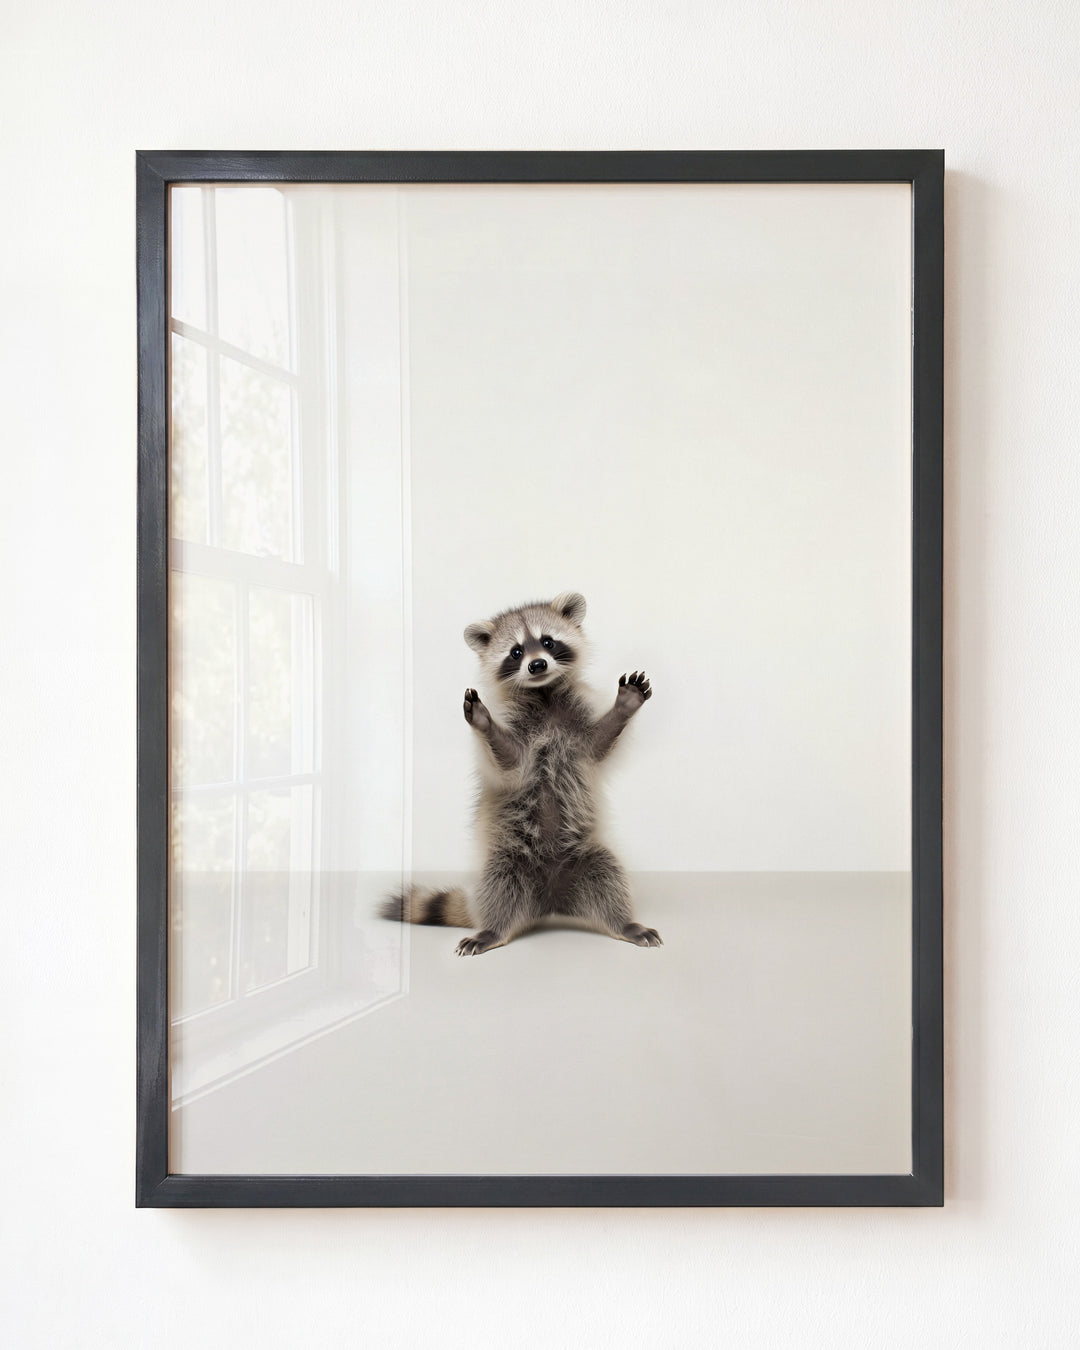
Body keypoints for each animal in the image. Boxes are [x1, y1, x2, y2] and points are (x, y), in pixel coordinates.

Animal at [382, 591, 662, 955]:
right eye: (515, 652)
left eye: (548, 642)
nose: (537, 664)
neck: (544, 693)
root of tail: (551, 902)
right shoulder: (516, 732)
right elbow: (510, 764)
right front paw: (485, 724)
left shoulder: (577, 727)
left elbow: (598, 747)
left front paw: (623, 708)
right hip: (507, 861)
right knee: (499, 888)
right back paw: (492, 930)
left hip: (587, 855)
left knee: (609, 876)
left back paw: (624, 923)